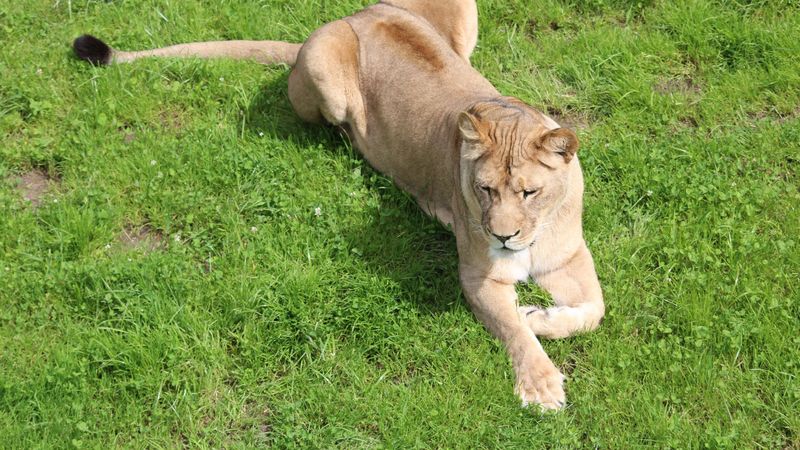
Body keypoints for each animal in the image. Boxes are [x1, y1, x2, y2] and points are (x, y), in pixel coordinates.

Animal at [73, 0, 604, 410]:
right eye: (484, 189)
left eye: (529, 193)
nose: (502, 236)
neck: (534, 234)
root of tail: (353, 15)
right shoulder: (478, 277)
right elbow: (514, 331)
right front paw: (540, 382)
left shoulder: (569, 255)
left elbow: (594, 309)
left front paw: (541, 317)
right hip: (325, 76)